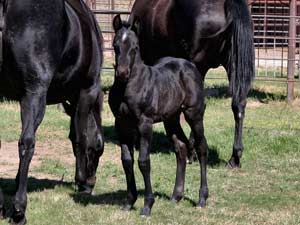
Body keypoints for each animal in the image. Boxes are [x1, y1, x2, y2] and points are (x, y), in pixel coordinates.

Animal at [0, 0, 103, 223]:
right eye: (99, 149)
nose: (92, 180)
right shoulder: (86, 91)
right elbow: (80, 137)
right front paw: (81, 181)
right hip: (35, 92)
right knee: (27, 143)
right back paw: (19, 209)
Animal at [109, 14, 210, 216]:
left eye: (135, 47)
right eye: (115, 45)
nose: (122, 73)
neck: (129, 87)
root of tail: (190, 65)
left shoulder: (144, 124)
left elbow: (143, 161)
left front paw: (147, 205)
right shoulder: (121, 125)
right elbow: (127, 161)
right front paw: (129, 202)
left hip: (193, 114)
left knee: (201, 147)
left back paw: (202, 198)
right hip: (171, 119)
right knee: (181, 148)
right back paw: (176, 196)